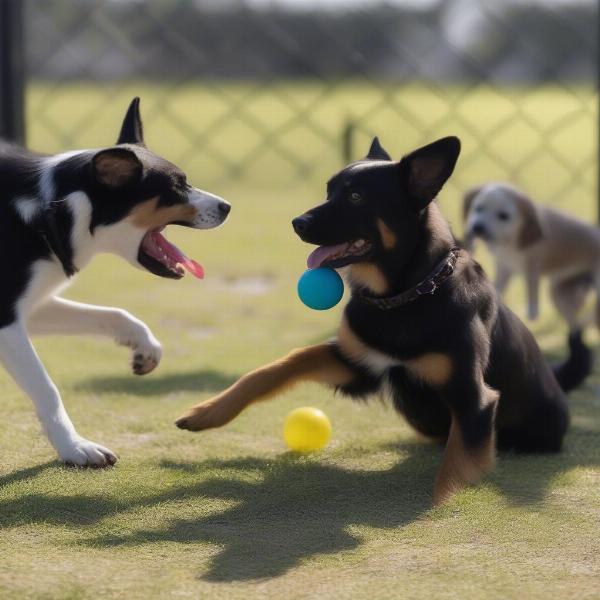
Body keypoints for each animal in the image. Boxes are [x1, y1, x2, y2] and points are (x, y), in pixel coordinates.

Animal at [0, 98, 231, 466]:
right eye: (177, 186)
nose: (227, 206)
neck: (53, 210)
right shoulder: (7, 319)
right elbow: (45, 386)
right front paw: (75, 447)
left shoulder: (28, 309)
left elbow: (115, 314)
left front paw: (146, 349)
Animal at [175, 136, 584, 502]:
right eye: (329, 191)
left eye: (356, 197)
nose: (297, 222)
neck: (406, 295)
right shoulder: (359, 365)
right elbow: (281, 365)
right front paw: (208, 411)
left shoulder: (474, 400)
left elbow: (453, 474)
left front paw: (439, 509)